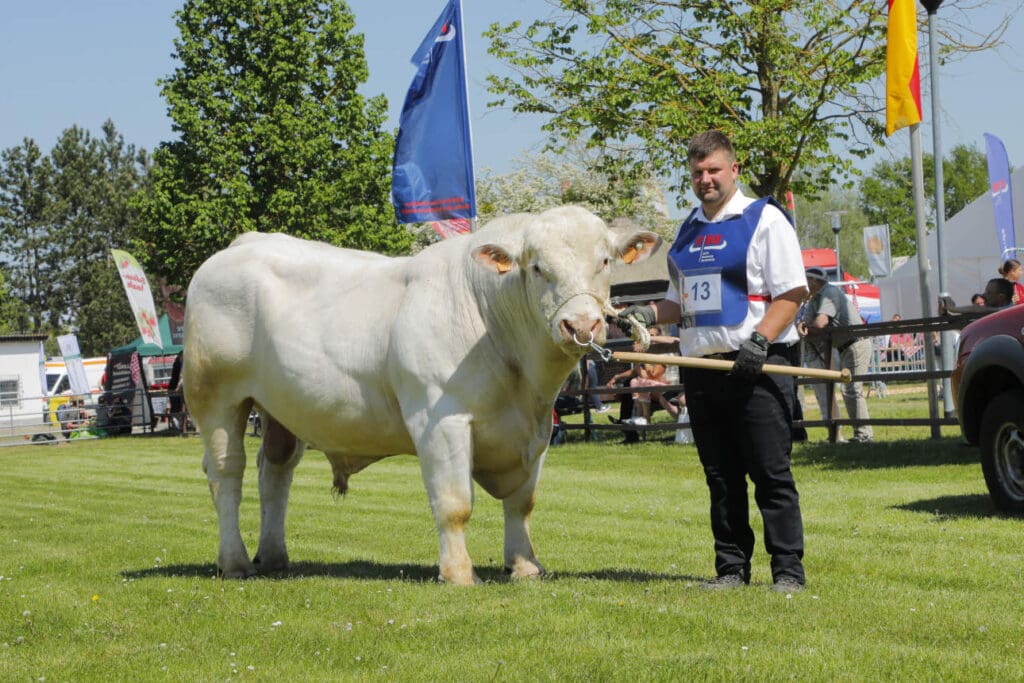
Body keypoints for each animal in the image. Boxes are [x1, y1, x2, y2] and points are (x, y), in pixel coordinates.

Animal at [184, 205, 659, 585]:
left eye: (603, 260)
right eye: (537, 267)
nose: (581, 326)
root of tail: (243, 243)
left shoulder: (537, 429)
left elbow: (522, 503)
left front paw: (525, 567)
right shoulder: (440, 419)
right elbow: (454, 504)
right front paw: (458, 574)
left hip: (280, 409)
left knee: (275, 473)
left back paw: (273, 557)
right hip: (215, 397)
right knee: (226, 473)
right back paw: (235, 561)